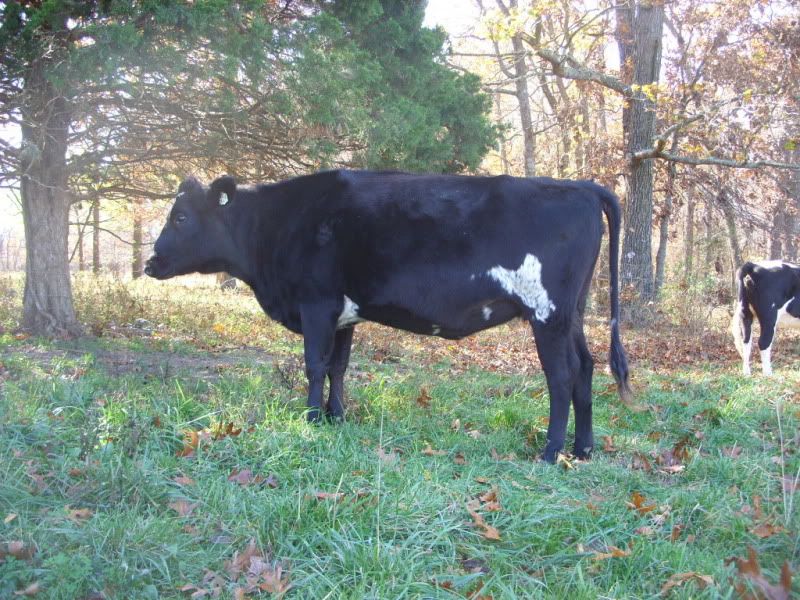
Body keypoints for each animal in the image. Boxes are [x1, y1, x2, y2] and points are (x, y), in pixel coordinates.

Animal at [145, 170, 631, 463]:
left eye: (181, 217)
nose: (149, 263)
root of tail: (583, 186)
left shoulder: (317, 303)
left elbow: (314, 364)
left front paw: (310, 420)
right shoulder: (344, 314)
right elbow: (338, 366)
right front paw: (337, 417)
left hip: (548, 312)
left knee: (562, 376)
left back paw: (550, 452)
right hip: (572, 313)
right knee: (586, 368)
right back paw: (583, 449)